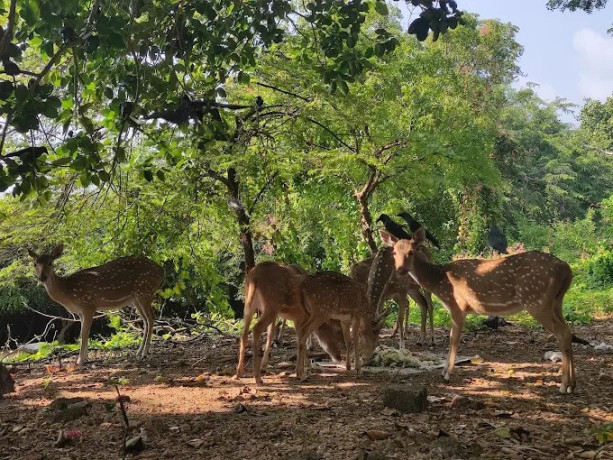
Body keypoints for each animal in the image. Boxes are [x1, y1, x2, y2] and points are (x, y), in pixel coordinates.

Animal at [27, 244, 164, 366]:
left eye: (50, 263)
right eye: (35, 264)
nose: (42, 277)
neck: (68, 292)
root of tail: (161, 271)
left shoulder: (88, 305)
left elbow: (83, 333)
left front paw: (80, 360)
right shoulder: (80, 311)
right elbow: (83, 333)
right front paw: (85, 357)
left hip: (144, 291)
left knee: (151, 318)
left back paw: (145, 353)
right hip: (136, 299)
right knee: (145, 320)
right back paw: (139, 352)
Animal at [382, 228, 580, 394]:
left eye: (411, 251)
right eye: (394, 252)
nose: (400, 270)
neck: (440, 282)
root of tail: (567, 269)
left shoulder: (458, 306)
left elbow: (453, 339)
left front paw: (447, 374)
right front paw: (444, 370)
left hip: (537, 301)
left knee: (562, 333)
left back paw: (563, 386)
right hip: (556, 302)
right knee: (568, 331)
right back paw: (572, 385)